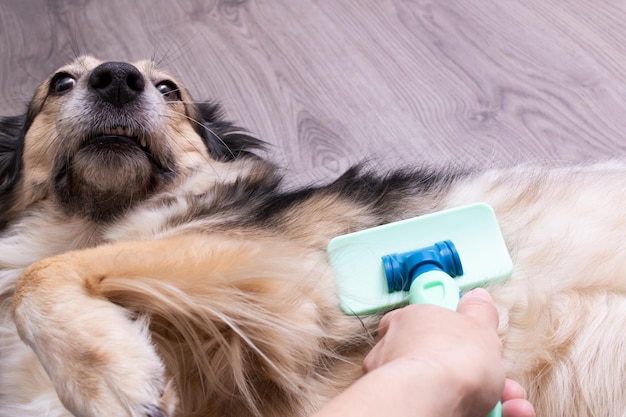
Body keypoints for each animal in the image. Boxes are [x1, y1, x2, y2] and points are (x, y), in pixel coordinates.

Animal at [0, 56, 620, 416]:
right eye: (61, 82)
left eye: (170, 88)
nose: (117, 78)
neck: (92, 217)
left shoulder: (279, 267)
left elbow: (39, 276)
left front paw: (112, 379)